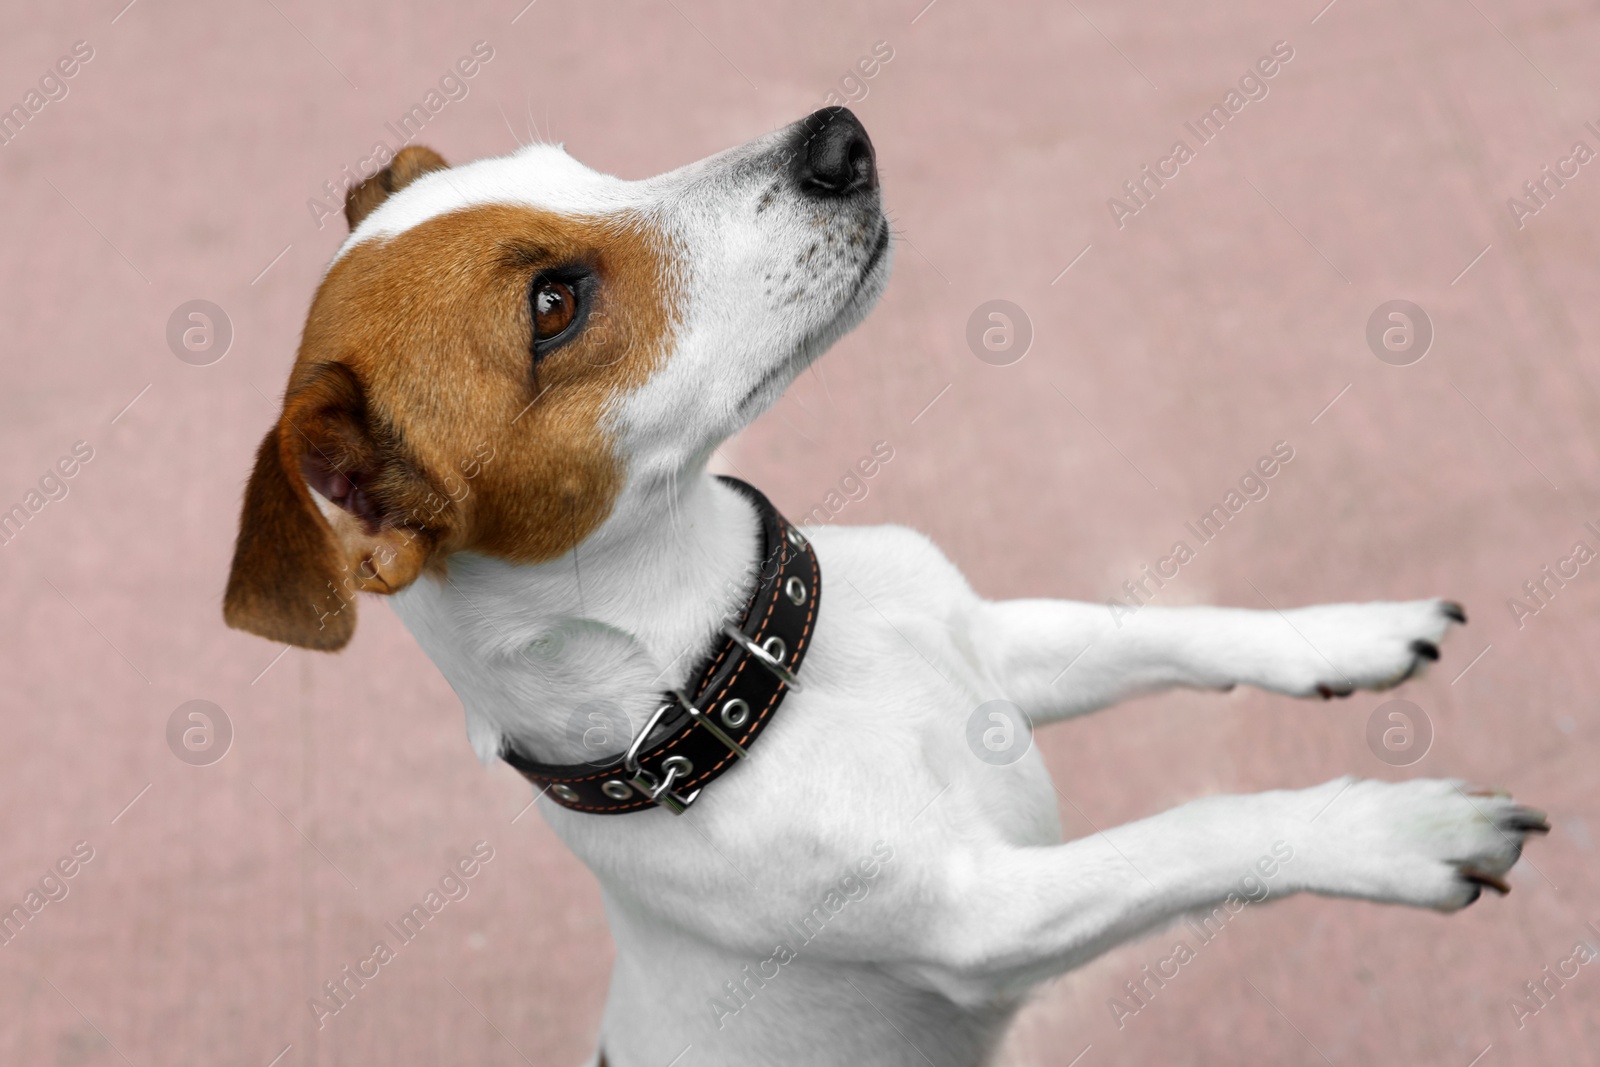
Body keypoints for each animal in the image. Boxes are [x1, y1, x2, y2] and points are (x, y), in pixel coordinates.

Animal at [225, 110, 1548, 1067]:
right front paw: (1394, 831)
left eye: (579, 165)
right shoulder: (990, 915)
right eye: (553, 303)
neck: (749, 663)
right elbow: (1201, 828)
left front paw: (1349, 634)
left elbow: (1178, 627)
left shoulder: (995, 643)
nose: (836, 136)